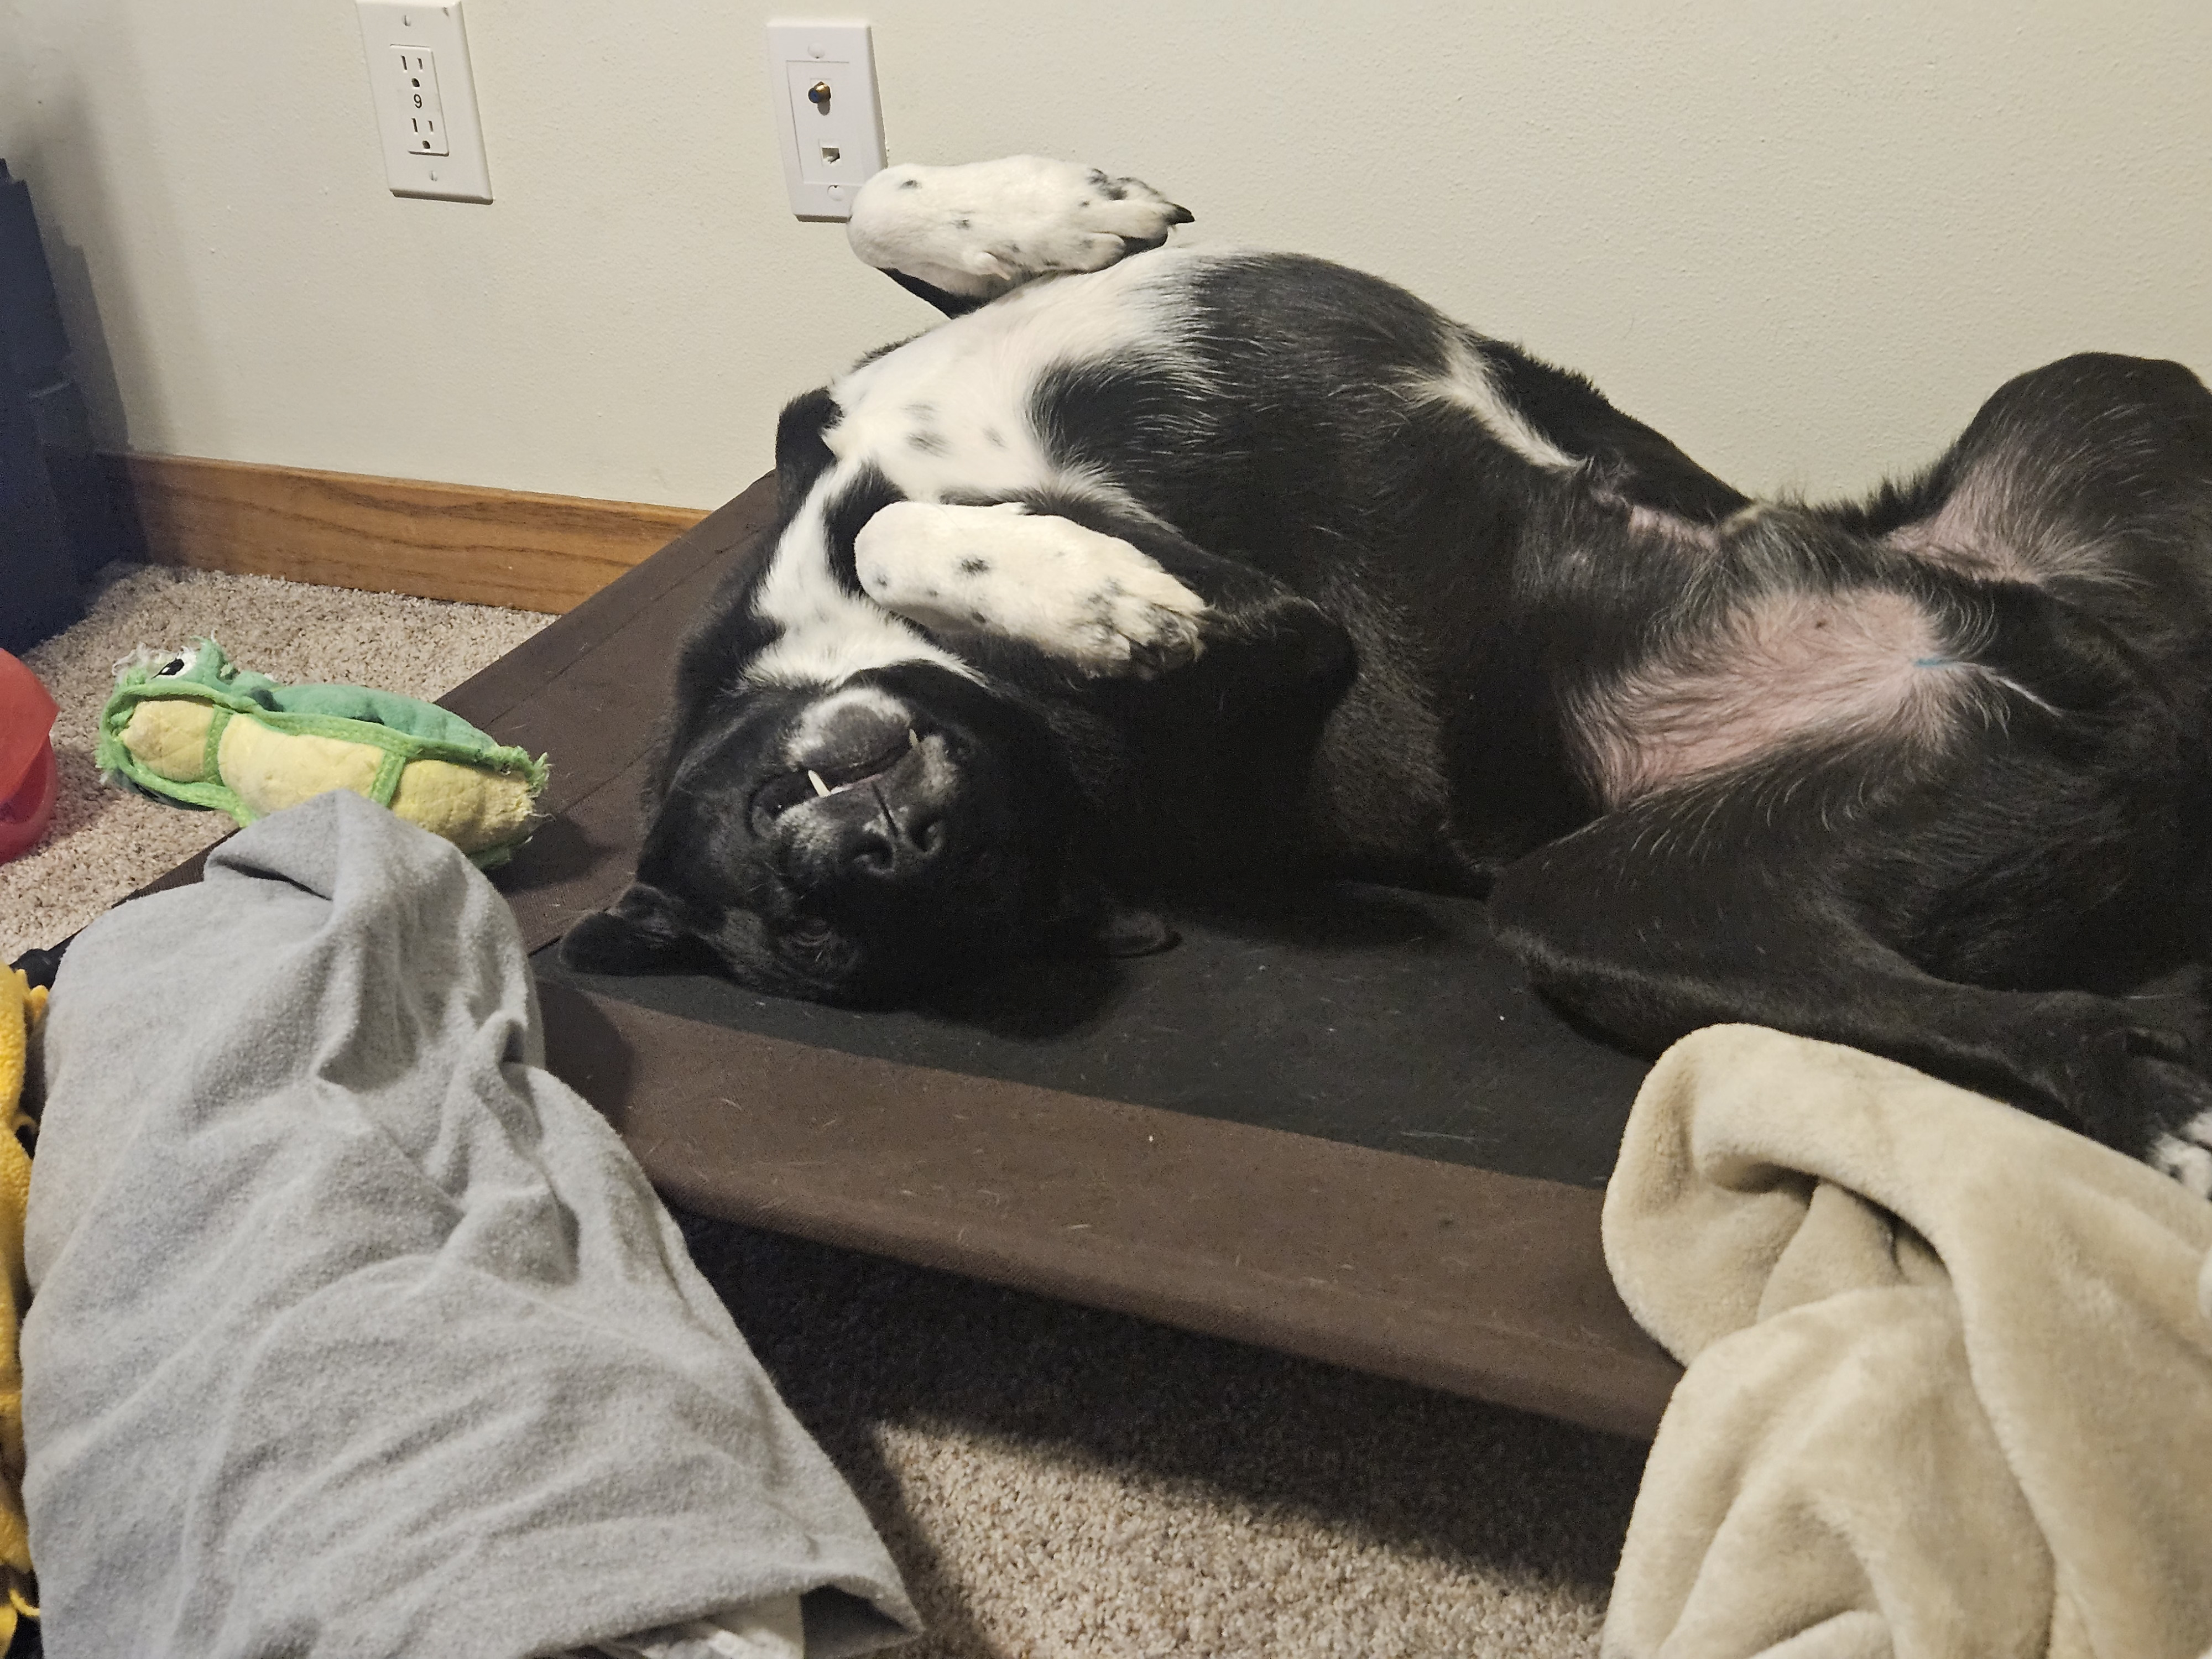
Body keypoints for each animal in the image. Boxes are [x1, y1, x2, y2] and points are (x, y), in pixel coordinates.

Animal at [557, 156, 2212, 1186]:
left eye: (763, 853)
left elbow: (872, 210)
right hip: (1595, 911)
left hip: (2095, 393)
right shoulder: (1287, 630)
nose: (888, 845)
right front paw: (1099, 598)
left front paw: (1059, 218)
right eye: (820, 932)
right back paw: (2160, 1113)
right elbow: (925, 525)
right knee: (2016, 1030)